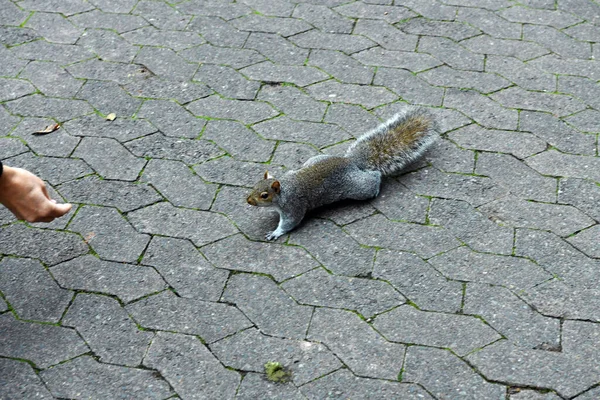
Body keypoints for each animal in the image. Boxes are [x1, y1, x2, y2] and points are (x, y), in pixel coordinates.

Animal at [246, 107, 438, 241]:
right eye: (254, 186)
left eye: (264, 195)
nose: (248, 200)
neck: (285, 188)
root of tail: (351, 162)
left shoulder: (294, 205)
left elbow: (290, 223)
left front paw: (276, 232)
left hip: (359, 188)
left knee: (373, 179)